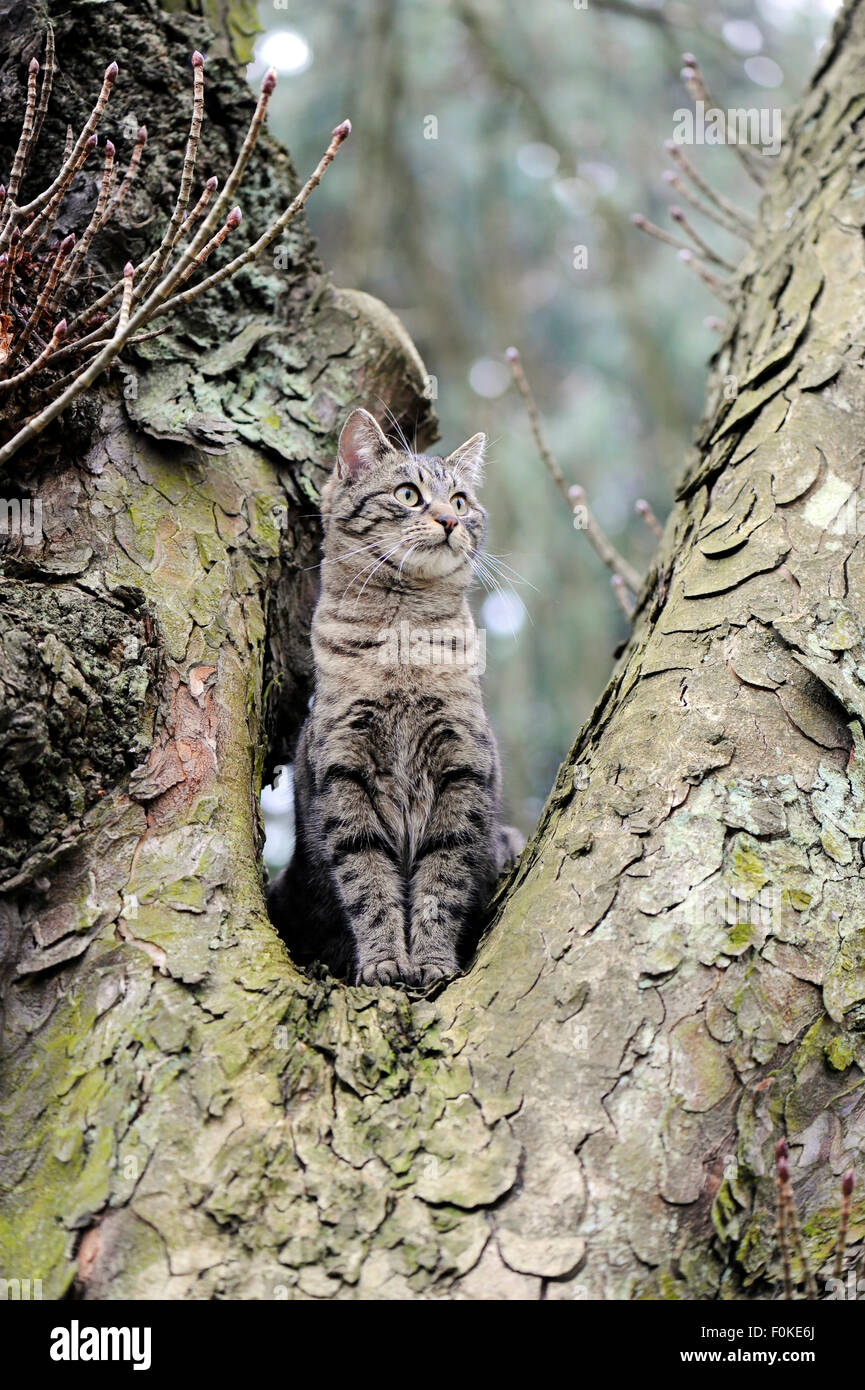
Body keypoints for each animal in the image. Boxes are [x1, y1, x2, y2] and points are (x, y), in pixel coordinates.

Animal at [268, 405, 522, 984]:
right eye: (408, 494)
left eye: (459, 501)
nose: (449, 521)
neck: (404, 640)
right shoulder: (345, 771)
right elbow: (369, 881)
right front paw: (385, 961)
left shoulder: (461, 767)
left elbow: (442, 879)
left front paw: (431, 961)